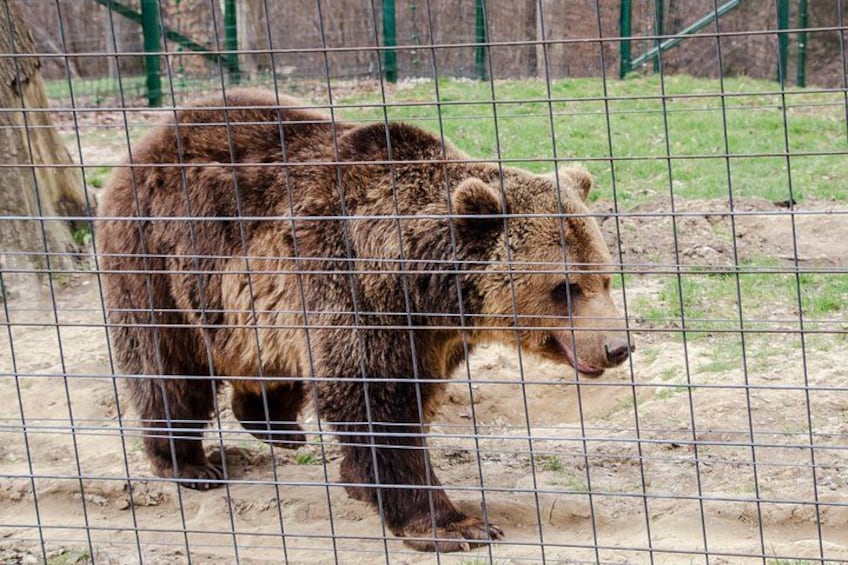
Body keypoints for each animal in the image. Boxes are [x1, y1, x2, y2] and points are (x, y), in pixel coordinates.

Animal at [97, 88, 633, 552]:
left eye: (605, 279)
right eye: (565, 287)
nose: (616, 346)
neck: (423, 282)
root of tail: (148, 140)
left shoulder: (428, 334)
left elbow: (410, 393)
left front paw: (360, 483)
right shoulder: (352, 288)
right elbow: (376, 401)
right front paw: (453, 525)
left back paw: (278, 426)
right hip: (159, 259)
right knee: (167, 365)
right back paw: (190, 464)